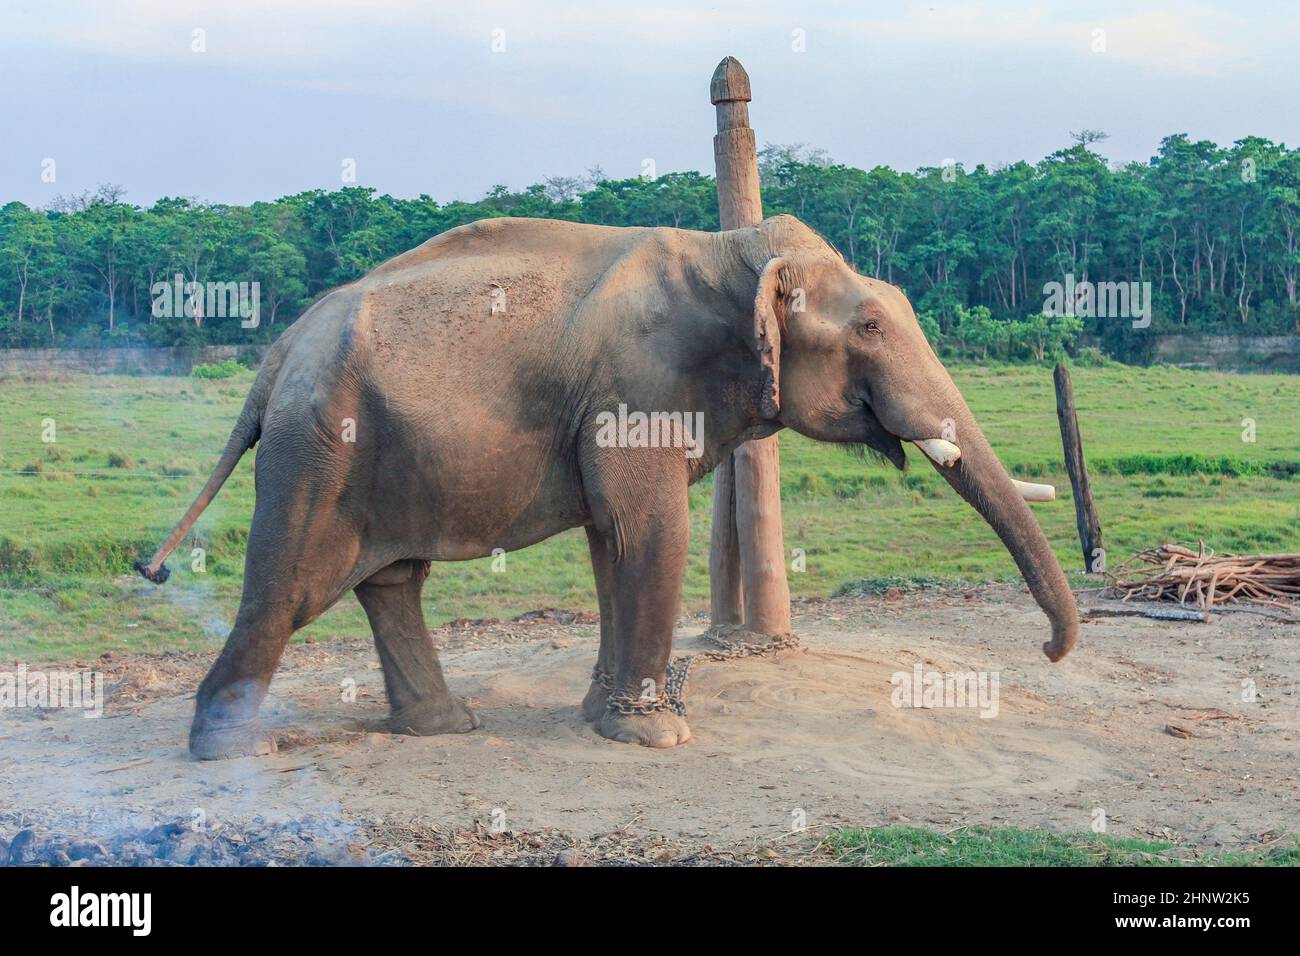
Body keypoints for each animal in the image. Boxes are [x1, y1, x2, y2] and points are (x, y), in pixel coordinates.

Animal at [137, 213, 1081, 759]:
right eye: (873, 327)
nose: (1045, 651)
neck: (730, 254)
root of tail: (276, 353)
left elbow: (611, 539)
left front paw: (603, 715)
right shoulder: (640, 388)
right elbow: (649, 530)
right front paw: (656, 734)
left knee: (391, 580)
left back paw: (445, 728)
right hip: (320, 448)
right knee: (290, 587)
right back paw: (231, 753)